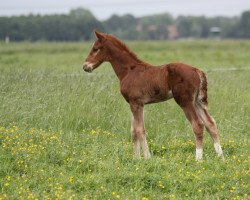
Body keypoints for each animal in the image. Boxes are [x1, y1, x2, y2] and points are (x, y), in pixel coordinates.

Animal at [83, 30, 224, 161]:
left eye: (95, 48)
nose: (85, 66)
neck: (129, 70)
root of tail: (197, 71)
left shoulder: (135, 103)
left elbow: (140, 130)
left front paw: (147, 158)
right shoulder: (136, 104)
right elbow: (134, 131)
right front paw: (136, 159)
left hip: (185, 101)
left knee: (198, 125)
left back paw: (198, 159)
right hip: (198, 102)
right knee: (210, 124)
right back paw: (221, 157)